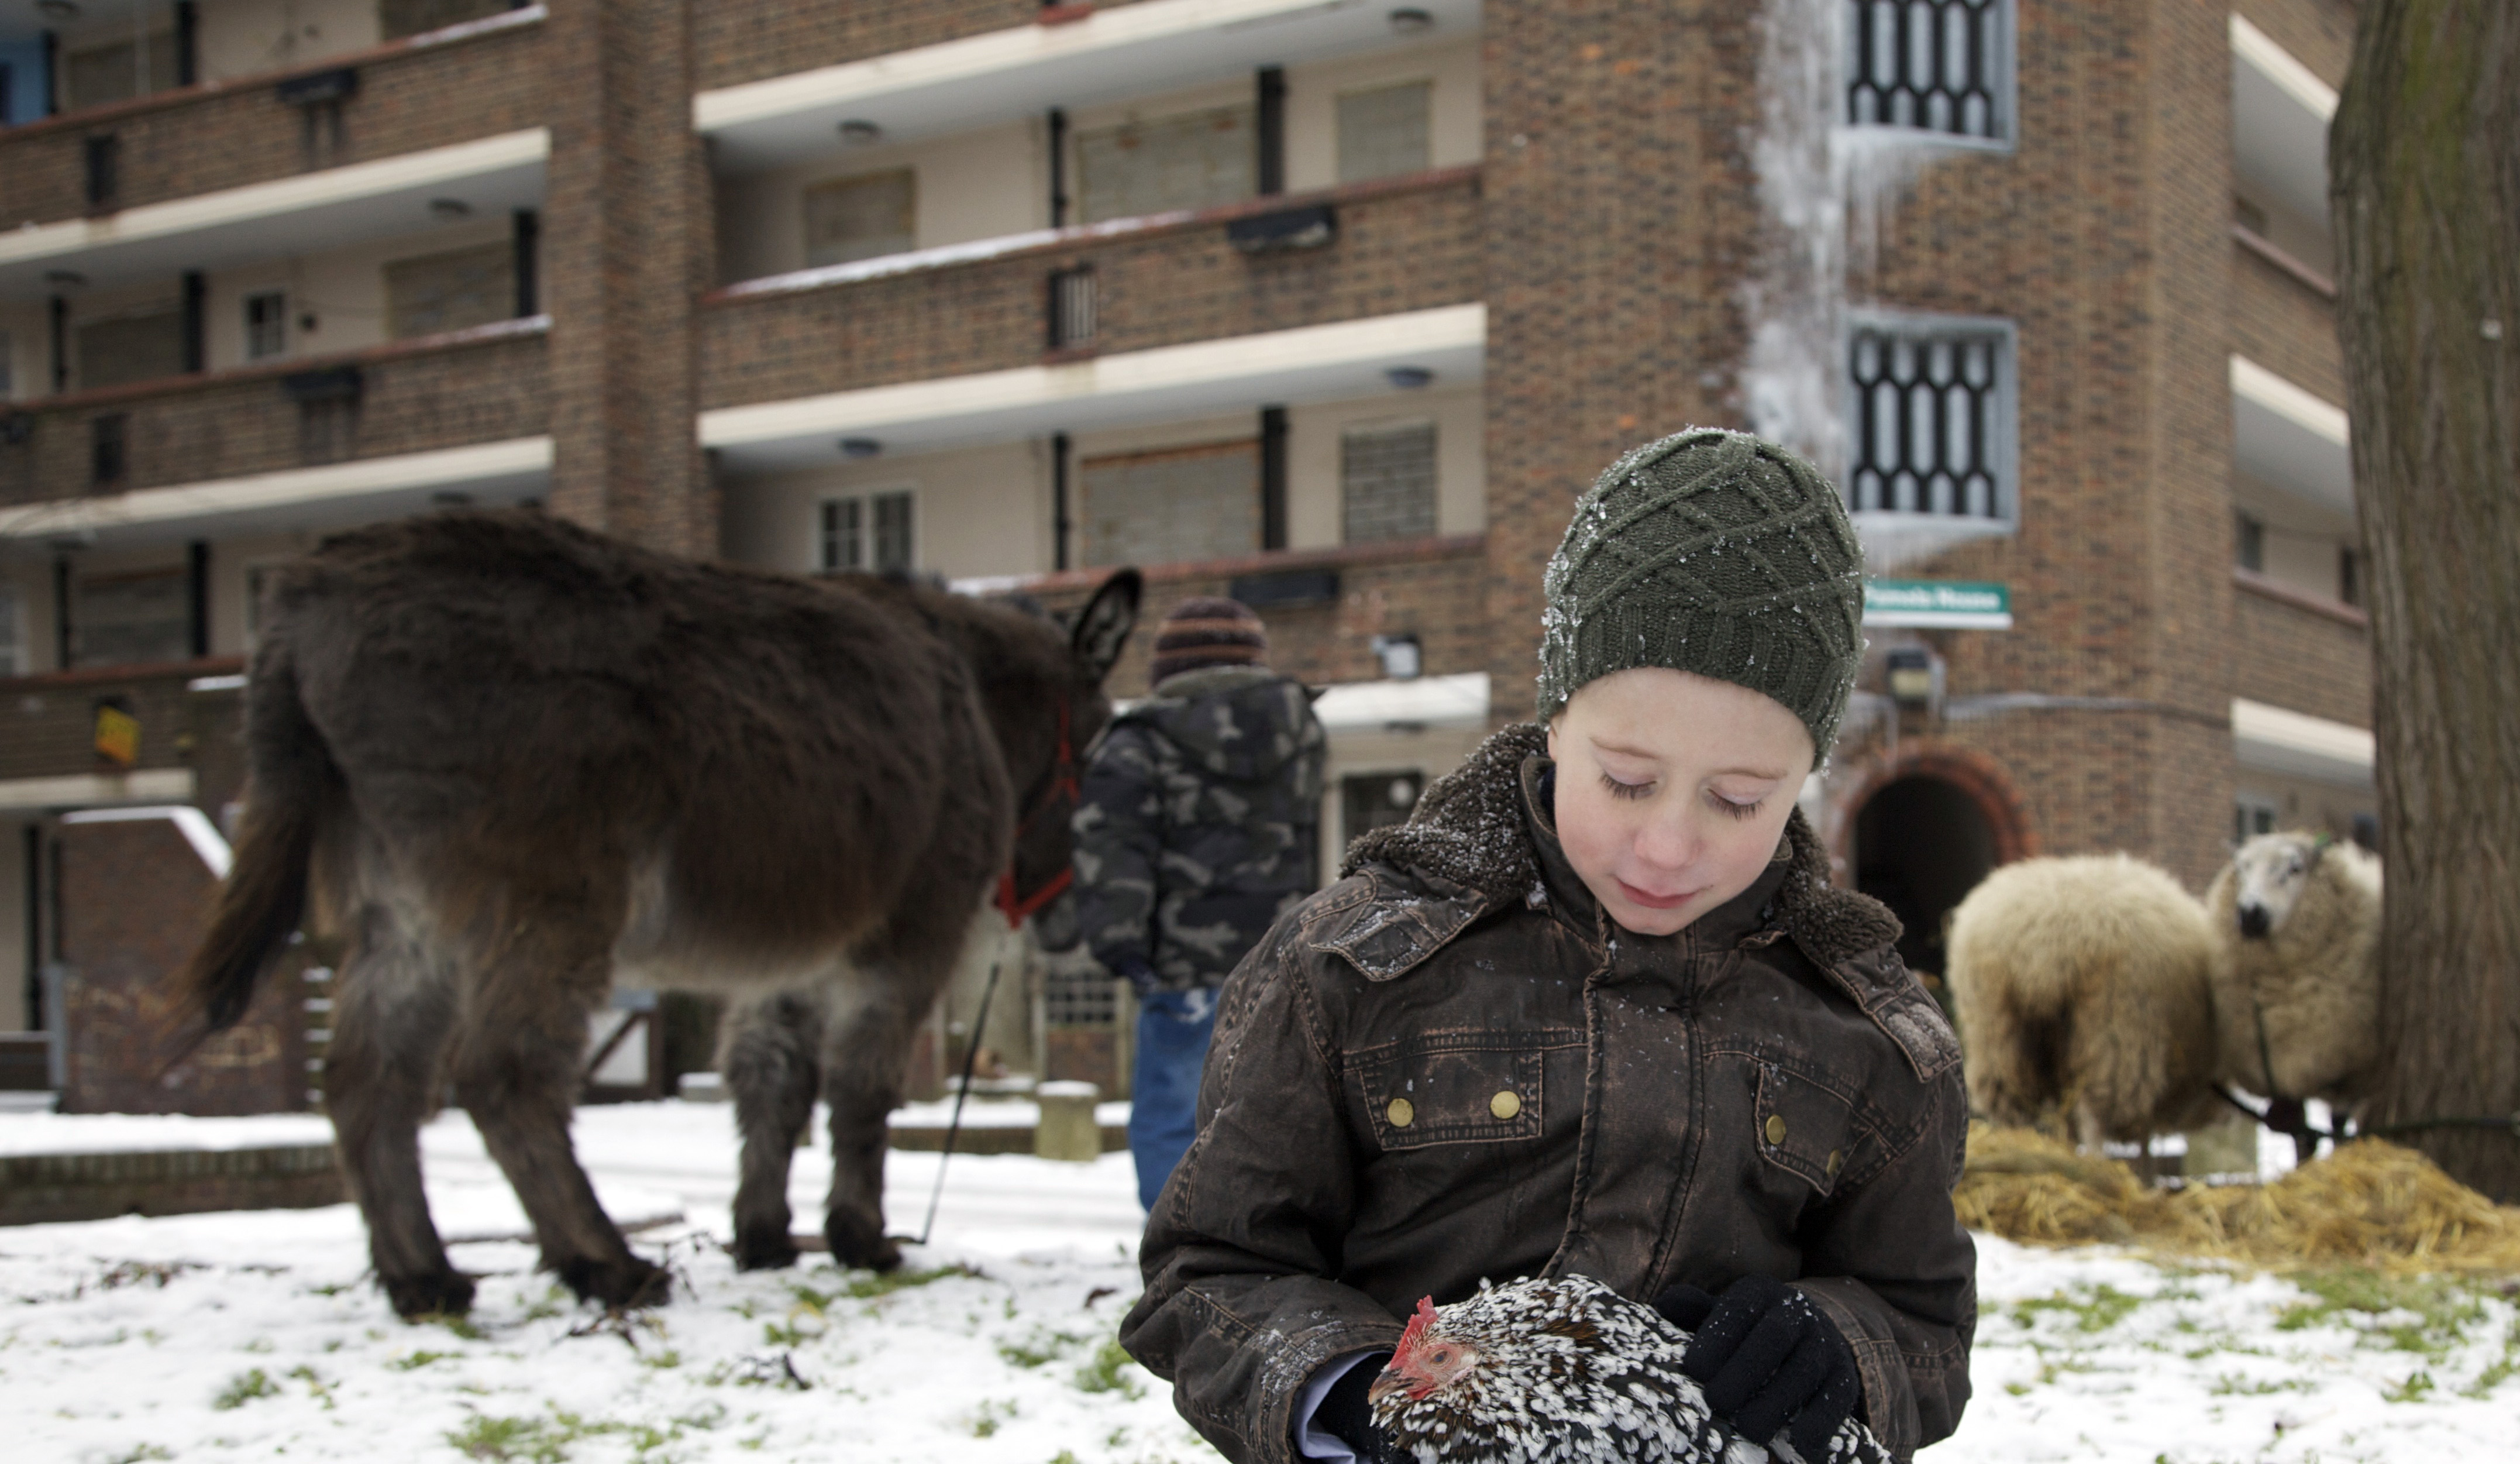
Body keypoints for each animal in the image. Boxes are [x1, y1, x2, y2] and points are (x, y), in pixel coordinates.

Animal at [173, 508, 1138, 1319]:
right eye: (1100, 747)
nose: (1073, 932)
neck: (972, 689)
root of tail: (310, 596)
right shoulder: (905, 942)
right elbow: (863, 1088)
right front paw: (861, 1238)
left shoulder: (793, 960)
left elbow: (773, 1082)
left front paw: (766, 1236)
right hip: (552, 899)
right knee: (505, 1073)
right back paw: (604, 1261)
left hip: (409, 917)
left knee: (368, 1081)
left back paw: (424, 1278)